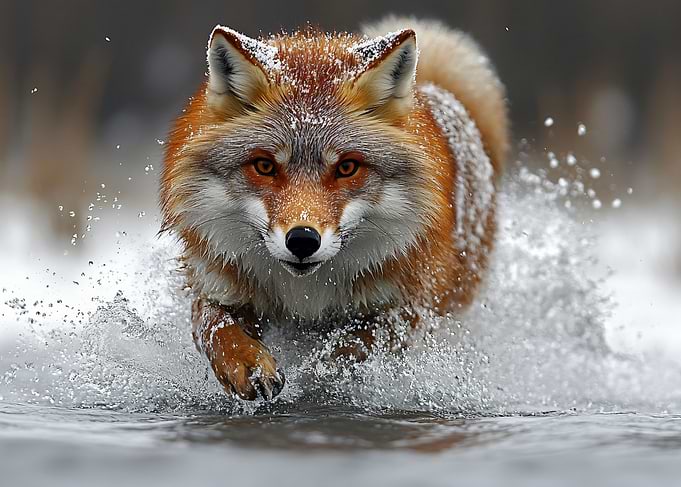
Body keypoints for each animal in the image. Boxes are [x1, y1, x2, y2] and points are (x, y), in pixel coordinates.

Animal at [160, 17, 509, 401]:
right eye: (264, 166)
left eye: (347, 167)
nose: (302, 240)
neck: (306, 294)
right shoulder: (218, 283)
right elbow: (216, 330)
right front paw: (247, 365)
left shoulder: (406, 309)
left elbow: (350, 349)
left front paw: (322, 375)